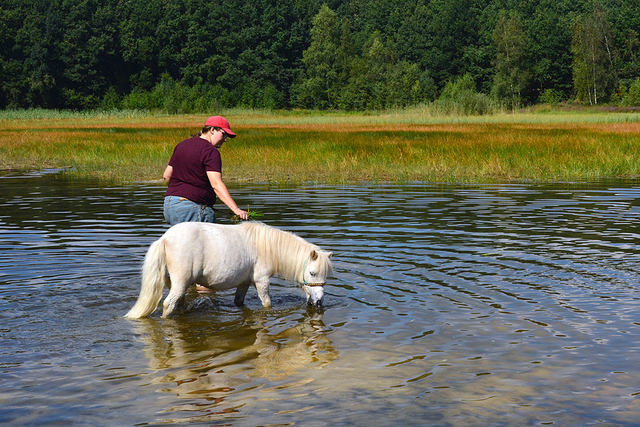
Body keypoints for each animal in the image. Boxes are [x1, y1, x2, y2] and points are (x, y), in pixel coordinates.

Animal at [125, 222, 336, 320]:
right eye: (312, 273)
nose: (319, 302)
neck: (266, 247)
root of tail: (165, 239)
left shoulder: (244, 283)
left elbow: (239, 302)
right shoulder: (261, 281)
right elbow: (267, 304)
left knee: (179, 303)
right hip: (180, 283)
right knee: (168, 304)